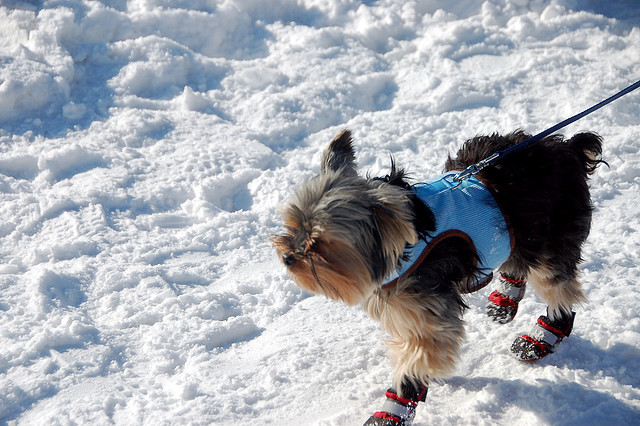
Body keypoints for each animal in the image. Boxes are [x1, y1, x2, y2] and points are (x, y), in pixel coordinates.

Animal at [272, 130, 604, 426]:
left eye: (320, 243)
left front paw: (392, 411)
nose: (288, 257)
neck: (399, 246)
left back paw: (540, 338)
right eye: (292, 225)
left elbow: (415, 360)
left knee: (558, 289)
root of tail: (568, 150)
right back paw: (503, 302)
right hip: (519, 234)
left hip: (549, 236)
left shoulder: (426, 316)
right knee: (518, 261)